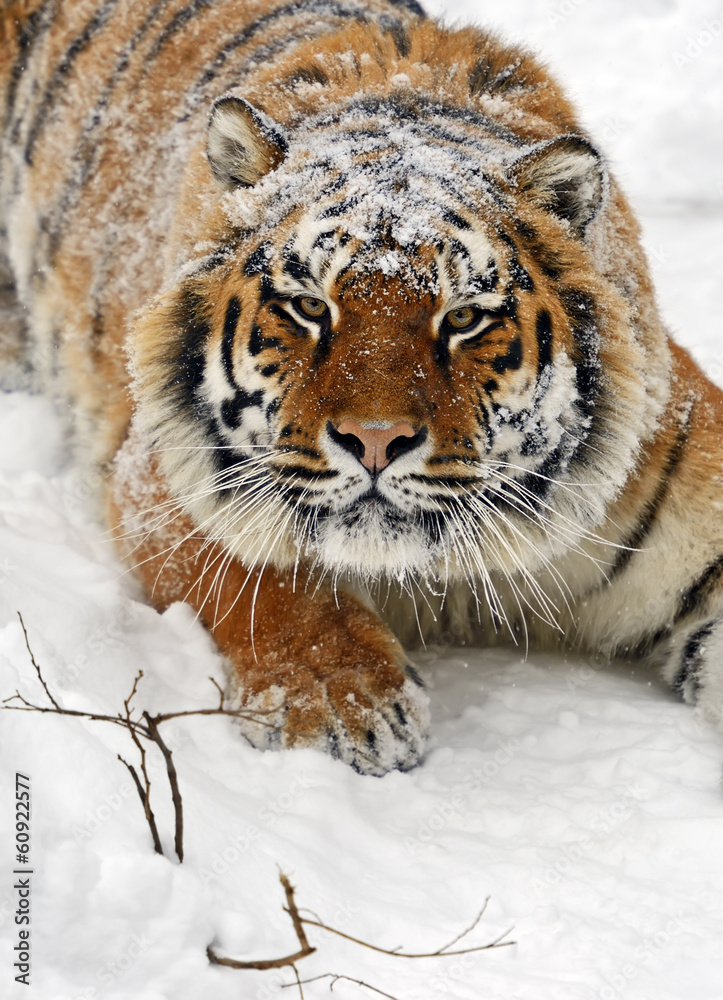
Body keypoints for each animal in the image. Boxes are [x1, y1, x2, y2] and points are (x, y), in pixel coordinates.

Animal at [1, 0, 722, 776]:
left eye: (462, 317)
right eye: (309, 307)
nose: (375, 442)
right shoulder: (160, 469)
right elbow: (264, 580)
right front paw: (346, 705)